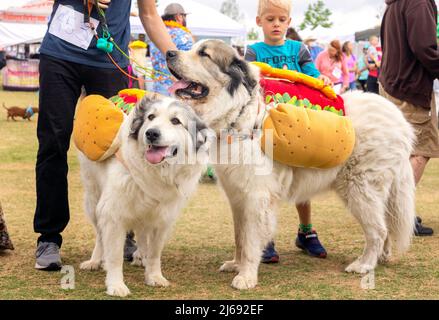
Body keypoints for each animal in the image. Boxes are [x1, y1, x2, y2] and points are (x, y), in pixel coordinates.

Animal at [78, 95, 211, 298]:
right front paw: (116, 285)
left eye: (175, 121)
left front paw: (154, 277)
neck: (156, 171)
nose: (151, 133)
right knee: (100, 235)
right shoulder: (113, 214)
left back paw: (141, 256)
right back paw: (95, 261)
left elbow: (155, 253)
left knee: (141, 233)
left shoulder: (162, 218)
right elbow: (114, 256)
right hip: (93, 200)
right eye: (150, 117)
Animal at [167, 39, 418, 290]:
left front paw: (246, 276)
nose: (169, 52)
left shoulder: (256, 198)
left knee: (378, 229)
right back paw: (382, 256)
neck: (238, 114)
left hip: (359, 189)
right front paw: (236, 264)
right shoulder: (237, 197)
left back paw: (364, 264)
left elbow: (250, 241)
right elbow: (240, 236)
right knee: (385, 225)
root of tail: (399, 121)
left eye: (204, 54)